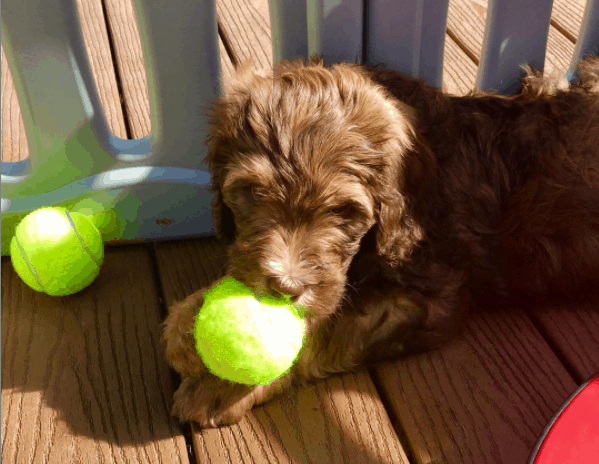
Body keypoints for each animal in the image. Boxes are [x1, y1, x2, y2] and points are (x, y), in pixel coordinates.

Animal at [163, 55, 599, 428]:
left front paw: (219, 383)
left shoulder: (433, 294)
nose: (286, 286)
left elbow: (324, 325)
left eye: (344, 211)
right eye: (252, 192)